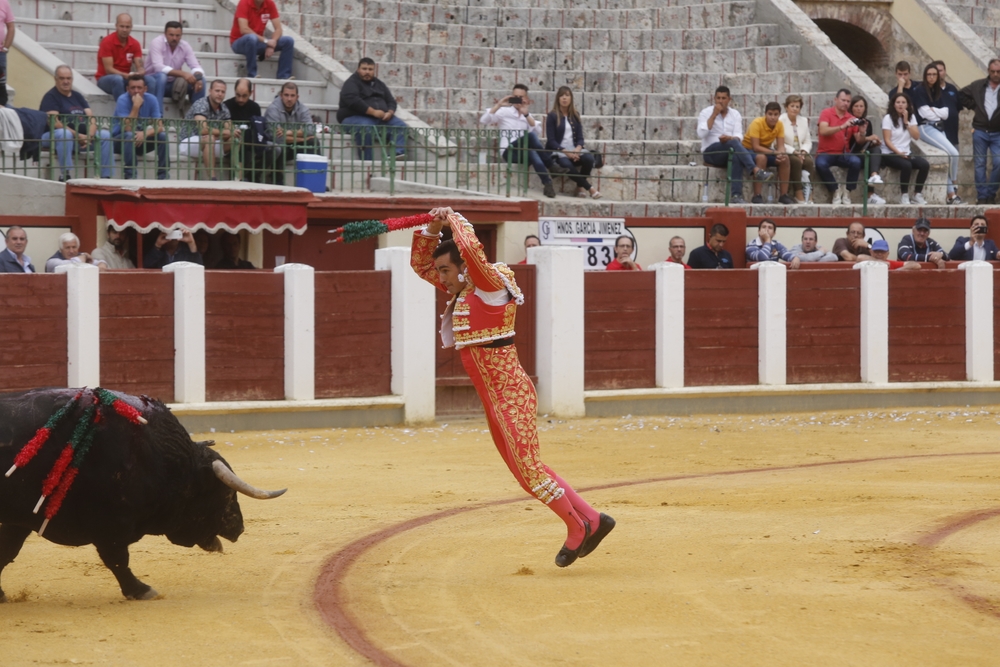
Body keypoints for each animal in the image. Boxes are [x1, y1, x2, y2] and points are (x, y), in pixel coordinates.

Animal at [0, 386, 286, 600]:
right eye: (225, 494)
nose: (239, 528)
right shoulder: (110, 524)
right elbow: (117, 559)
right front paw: (141, 590)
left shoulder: (22, 520)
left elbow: (7, 551)